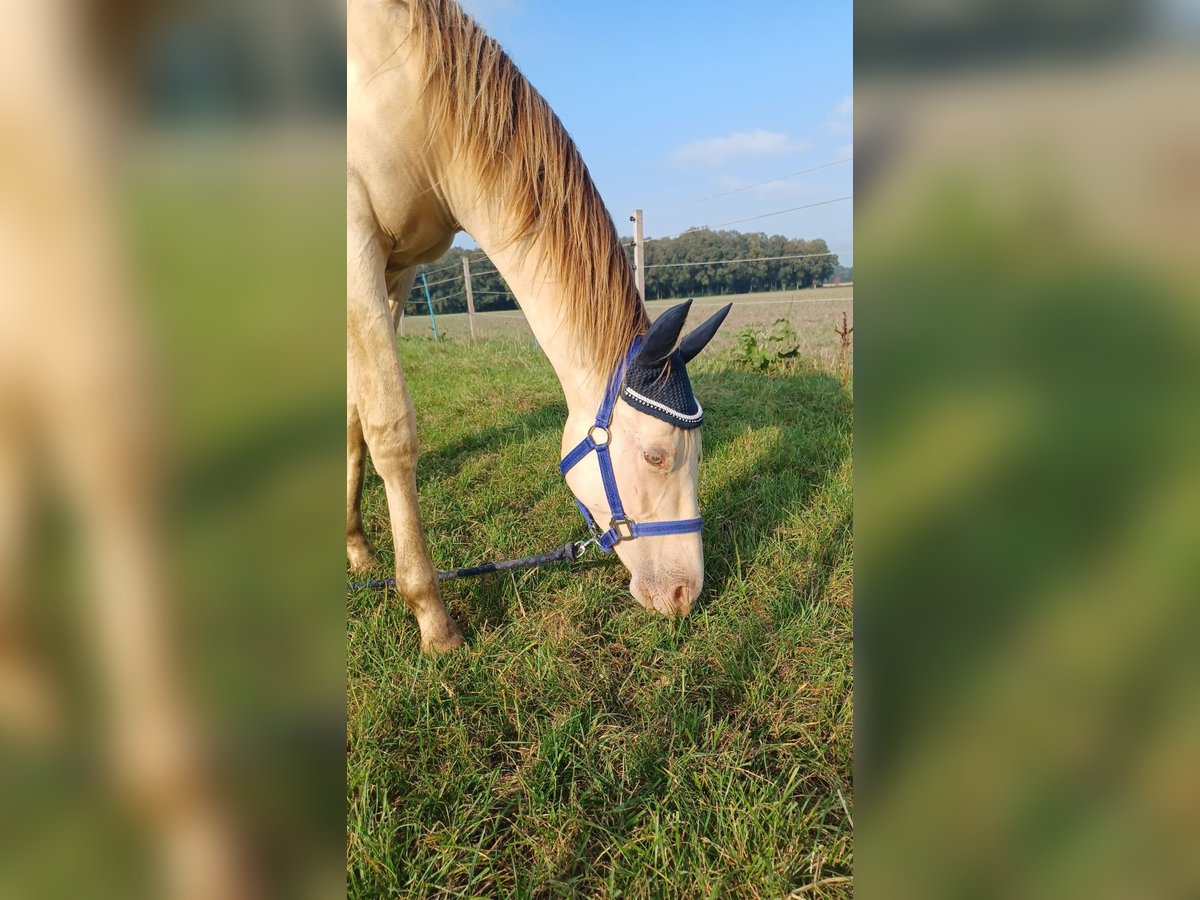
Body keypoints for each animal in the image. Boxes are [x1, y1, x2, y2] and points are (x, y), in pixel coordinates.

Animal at [348, 0, 729, 652]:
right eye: (656, 456)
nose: (687, 594)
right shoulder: (355, 242)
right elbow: (391, 431)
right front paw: (431, 615)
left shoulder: (397, 269)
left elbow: (353, 418)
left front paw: (357, 550)